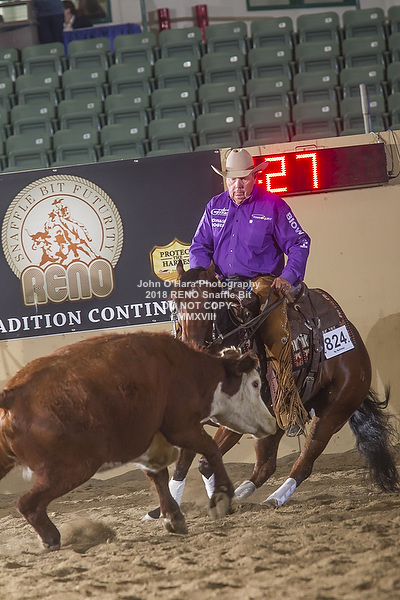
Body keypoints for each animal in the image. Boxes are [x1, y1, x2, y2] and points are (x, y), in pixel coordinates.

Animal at [0, 331, 277, 551]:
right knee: (27, 503)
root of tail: (12, 394)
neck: (186, 370)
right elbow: (211, 450)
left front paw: (173, 517)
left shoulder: (151, 443)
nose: (272, 423)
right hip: (73, 467)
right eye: (255, 383)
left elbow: (159, 476)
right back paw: (51, 538)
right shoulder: (182, 427)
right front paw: (222, 495)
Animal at [144, 261, 399, 518]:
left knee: (304, 462)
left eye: (210, 302)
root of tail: (356, 344)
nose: (191, 345)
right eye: (173, 300)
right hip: (276, 418)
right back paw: (242, 495)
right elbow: (182, 465)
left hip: (334, 411)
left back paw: (273, 499)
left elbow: (206, 463)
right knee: (265, 466)